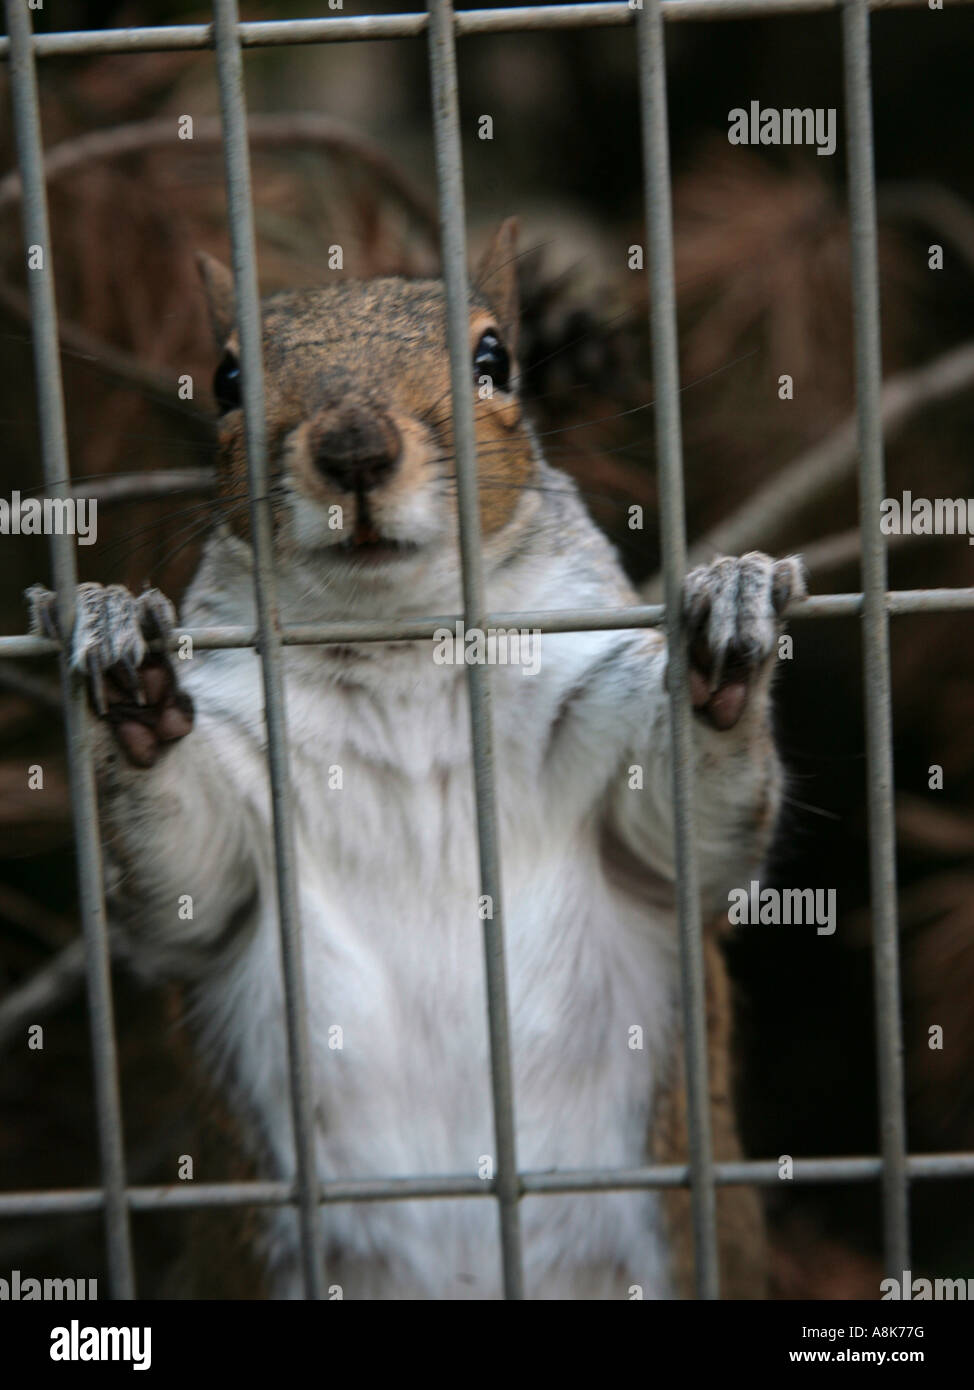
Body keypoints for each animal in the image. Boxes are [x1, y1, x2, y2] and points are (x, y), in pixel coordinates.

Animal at [32, 219, 805, 1301]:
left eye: (495, 360)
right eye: (225, 378)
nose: (355, 448)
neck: (402, 642)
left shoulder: (606, 750)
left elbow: (679, 832)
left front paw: (723, 625)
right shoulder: (233, 831)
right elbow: (187, 886)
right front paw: (122, 657)